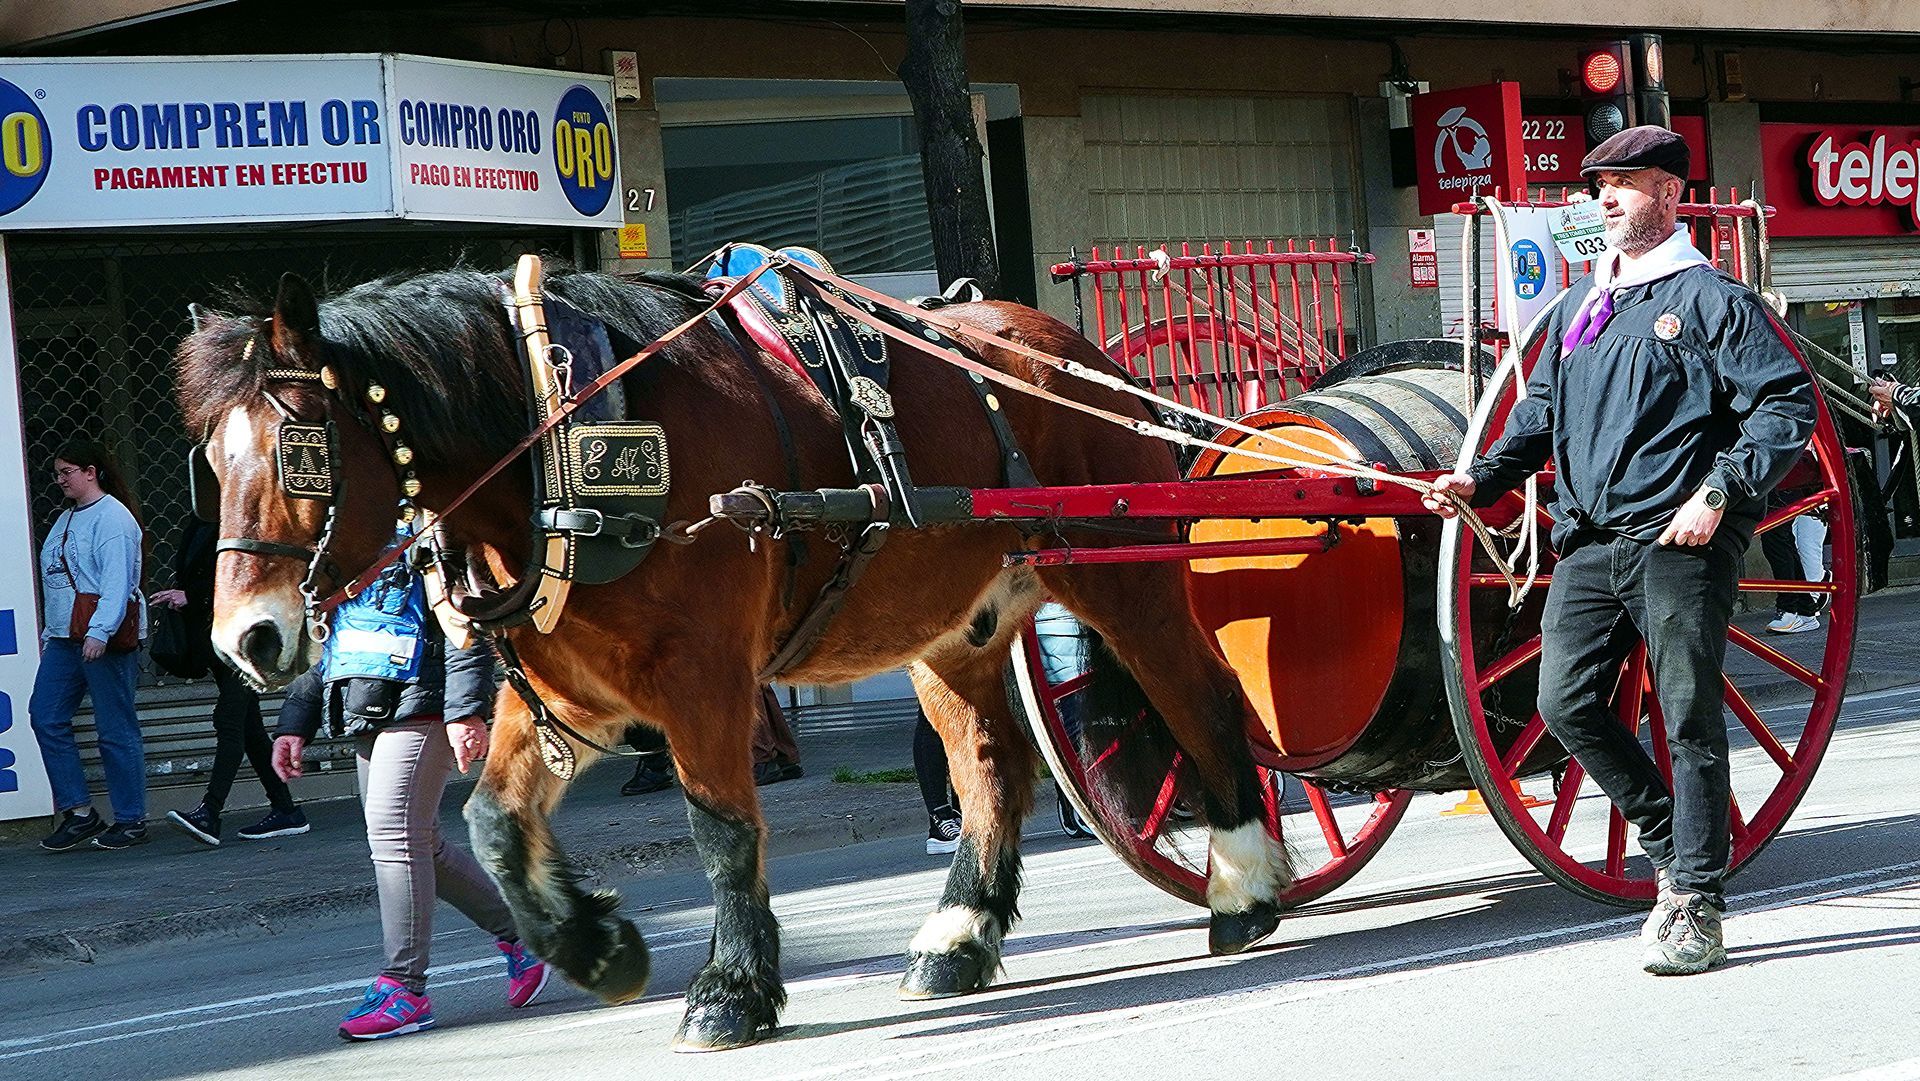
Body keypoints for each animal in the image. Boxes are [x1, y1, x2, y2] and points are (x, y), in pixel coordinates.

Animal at [175, 264, 1293, 1050]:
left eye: (299, 448)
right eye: (210, 461)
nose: (245, 641)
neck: (558, 435)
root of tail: (1068, 347)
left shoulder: (700, 675)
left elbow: (722, 831)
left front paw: (730, 989)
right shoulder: (576, 689)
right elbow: (493, 823)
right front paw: (600, 948)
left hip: (1119, 573)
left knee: (1199, 696)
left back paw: (1244, 884)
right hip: (950, 626)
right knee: (989, 766)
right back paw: (958, 934)